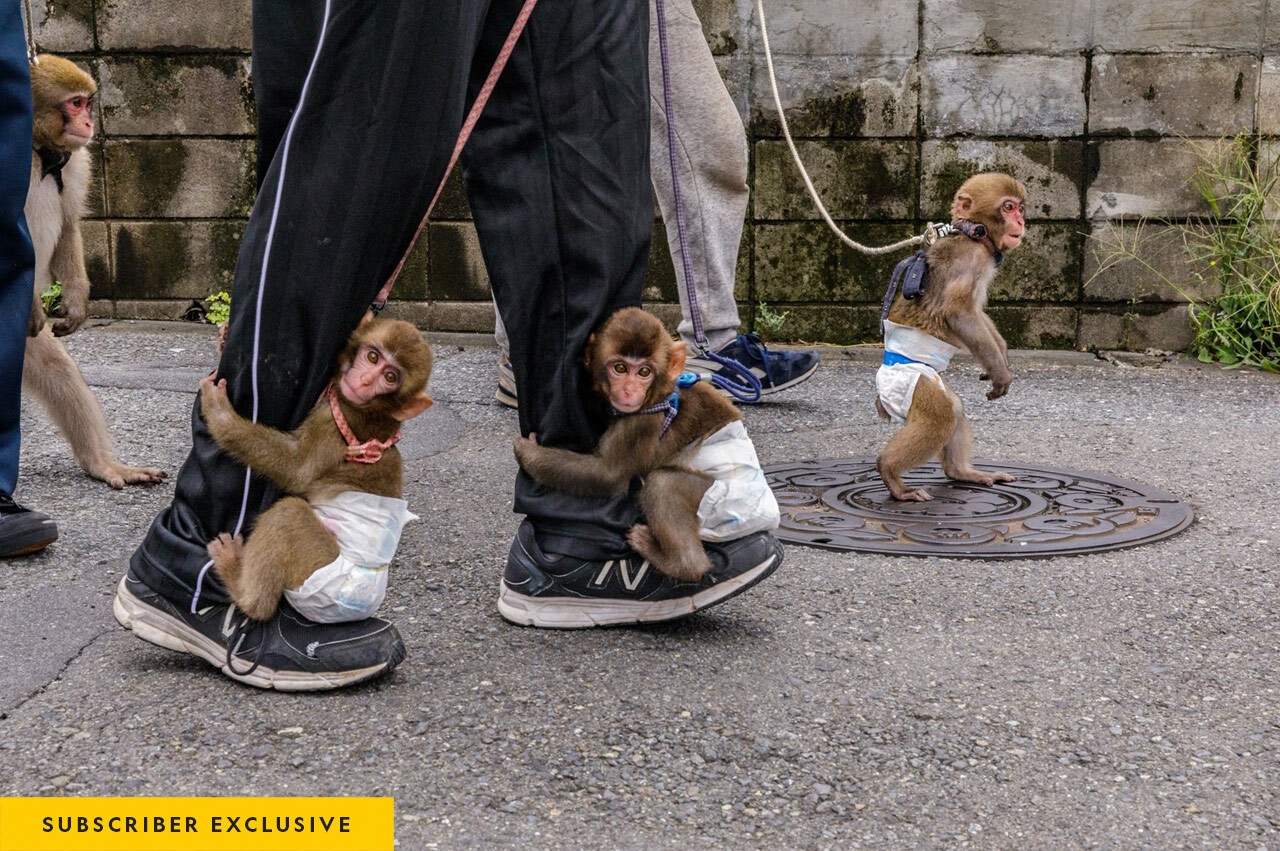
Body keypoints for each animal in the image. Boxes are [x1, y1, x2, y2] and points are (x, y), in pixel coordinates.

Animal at [23, 56, 165, 488]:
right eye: (75, 103)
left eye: (87, 103)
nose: (89, 123)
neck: (40, 154)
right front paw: (36, 305)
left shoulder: (75, 162)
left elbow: (69, 226)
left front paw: (76, 302)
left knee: (57, 370)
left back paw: (102, 464)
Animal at [199, 317, 435, 616]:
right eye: (373, 357)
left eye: (390, 377)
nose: (366, 380)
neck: (376, 412)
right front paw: (222, 336)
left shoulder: (331, 423)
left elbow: (296, 468)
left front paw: (217, 411)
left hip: (320, 570)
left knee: (289, 514)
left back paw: (242, 589)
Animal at [870, 175, 1029, 501]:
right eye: (1008, 207)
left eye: (1020, 207)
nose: (1021, 220)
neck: (973, 233)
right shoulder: (970, 260)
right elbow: (959, 313)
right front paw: (1000, 372)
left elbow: (977, 314)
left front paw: (1001, 355)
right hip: (909, 383)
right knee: (941, 417)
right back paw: (890, 473)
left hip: (929, 381)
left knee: (953, 408)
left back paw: (962, 472)